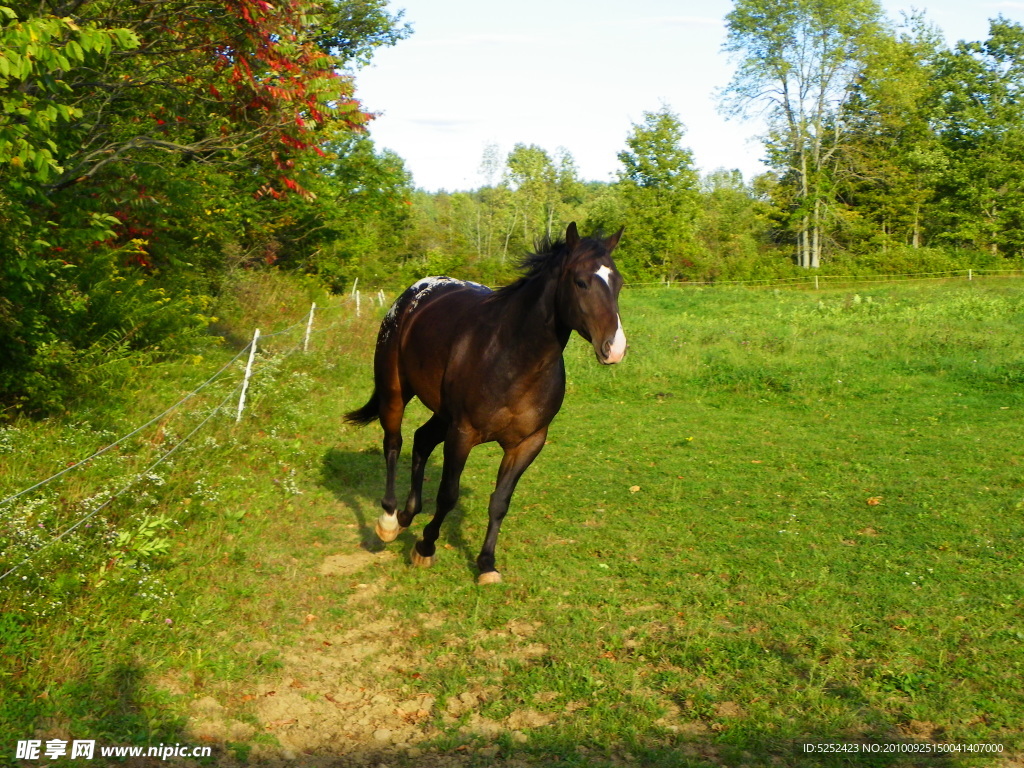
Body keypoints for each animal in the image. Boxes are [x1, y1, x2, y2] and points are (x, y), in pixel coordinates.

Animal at [348, 222, 626, 581]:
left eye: (618, 282)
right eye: (581, 281)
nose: (615, 349)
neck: (512, 357)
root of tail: (412, 295)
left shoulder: (528, 443)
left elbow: (500, 501)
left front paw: (486, 564)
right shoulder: (463, 433)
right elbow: (448, 495)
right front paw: (425, 548)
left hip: (442, 413)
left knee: (421, 440)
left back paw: (409, 514)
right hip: (395, 392)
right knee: (394, 443)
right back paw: (389, 521)